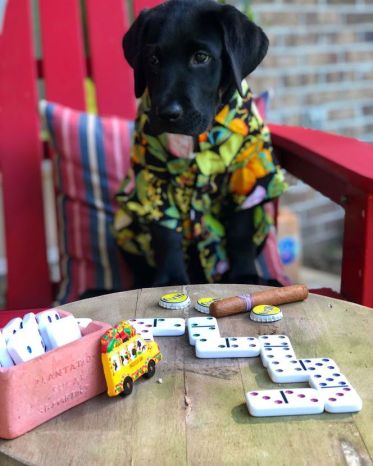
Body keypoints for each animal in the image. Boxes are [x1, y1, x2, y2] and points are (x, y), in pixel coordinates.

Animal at [116, 0, 284, 290]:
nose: (168, 114)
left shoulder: (246, 175)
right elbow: (166, 235)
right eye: (153, 60)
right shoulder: (153, 180)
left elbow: (240, 232)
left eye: (201, 57)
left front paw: (245, 276)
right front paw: (170, 279)